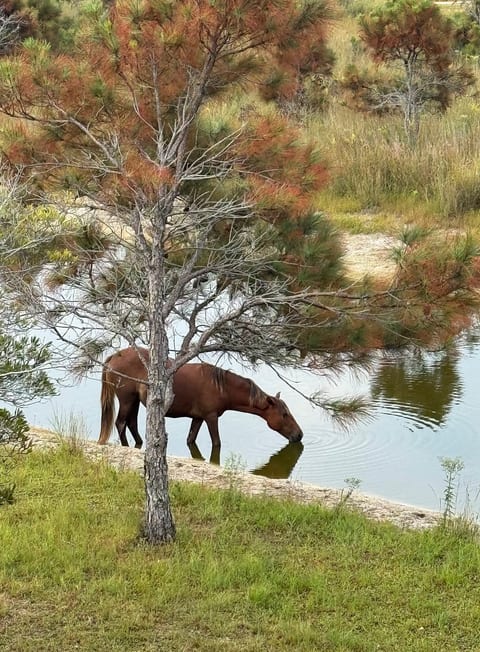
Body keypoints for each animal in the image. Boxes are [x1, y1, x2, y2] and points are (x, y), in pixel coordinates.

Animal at [98, 346, 303, 449]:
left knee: (131, 423)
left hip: (134, 401)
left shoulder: (198, 418)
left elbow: (191, 440)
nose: (299, 435)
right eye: (284, 414)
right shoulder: (211, 417)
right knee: (121, 423)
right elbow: (216, 443)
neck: (222, 387)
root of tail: (114, 356)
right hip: (126, 400)